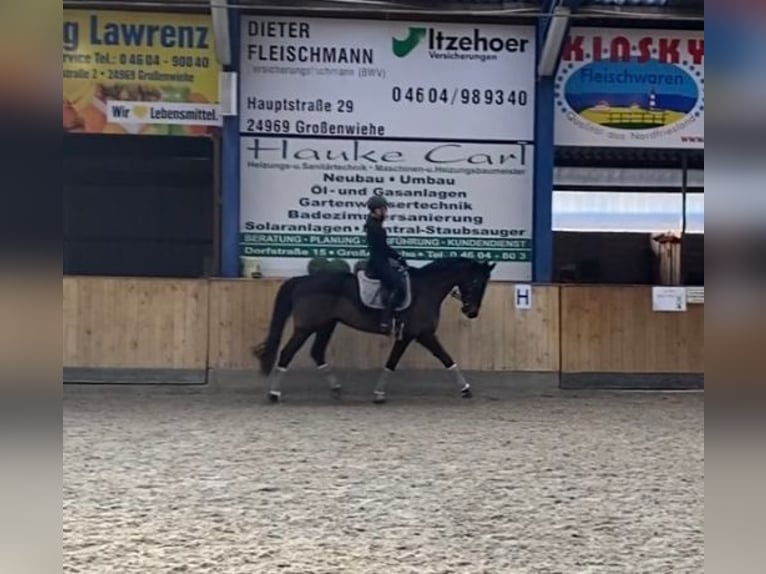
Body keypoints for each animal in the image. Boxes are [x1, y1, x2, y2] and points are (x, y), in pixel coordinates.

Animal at [254, 258, 498, 402]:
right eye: (475, 282)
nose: (472, 312)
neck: (426, 289)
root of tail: (301, 280)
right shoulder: (420, 334)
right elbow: (444, 357)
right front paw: (466, 389)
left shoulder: (410, 335)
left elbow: (394, 362)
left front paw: (378, 392)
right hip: (306, 327)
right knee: (287, 353)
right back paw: (274, 394)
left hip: (327, 324)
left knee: (317, 352)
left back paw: (336, 389)